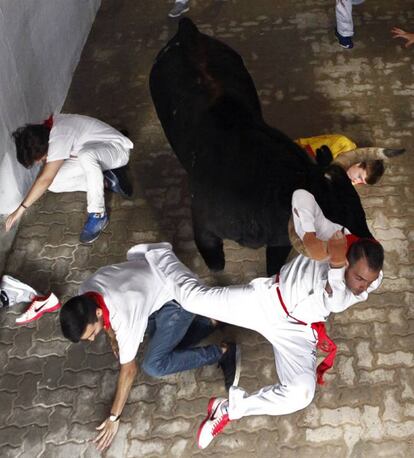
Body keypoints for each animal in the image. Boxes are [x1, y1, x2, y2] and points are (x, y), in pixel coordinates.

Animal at [150, 17, 374, 274]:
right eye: (339, 227)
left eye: (360, 209)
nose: (373, 249)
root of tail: (189, 32)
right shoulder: (204, 230)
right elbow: (216, 264)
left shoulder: (279, 242)